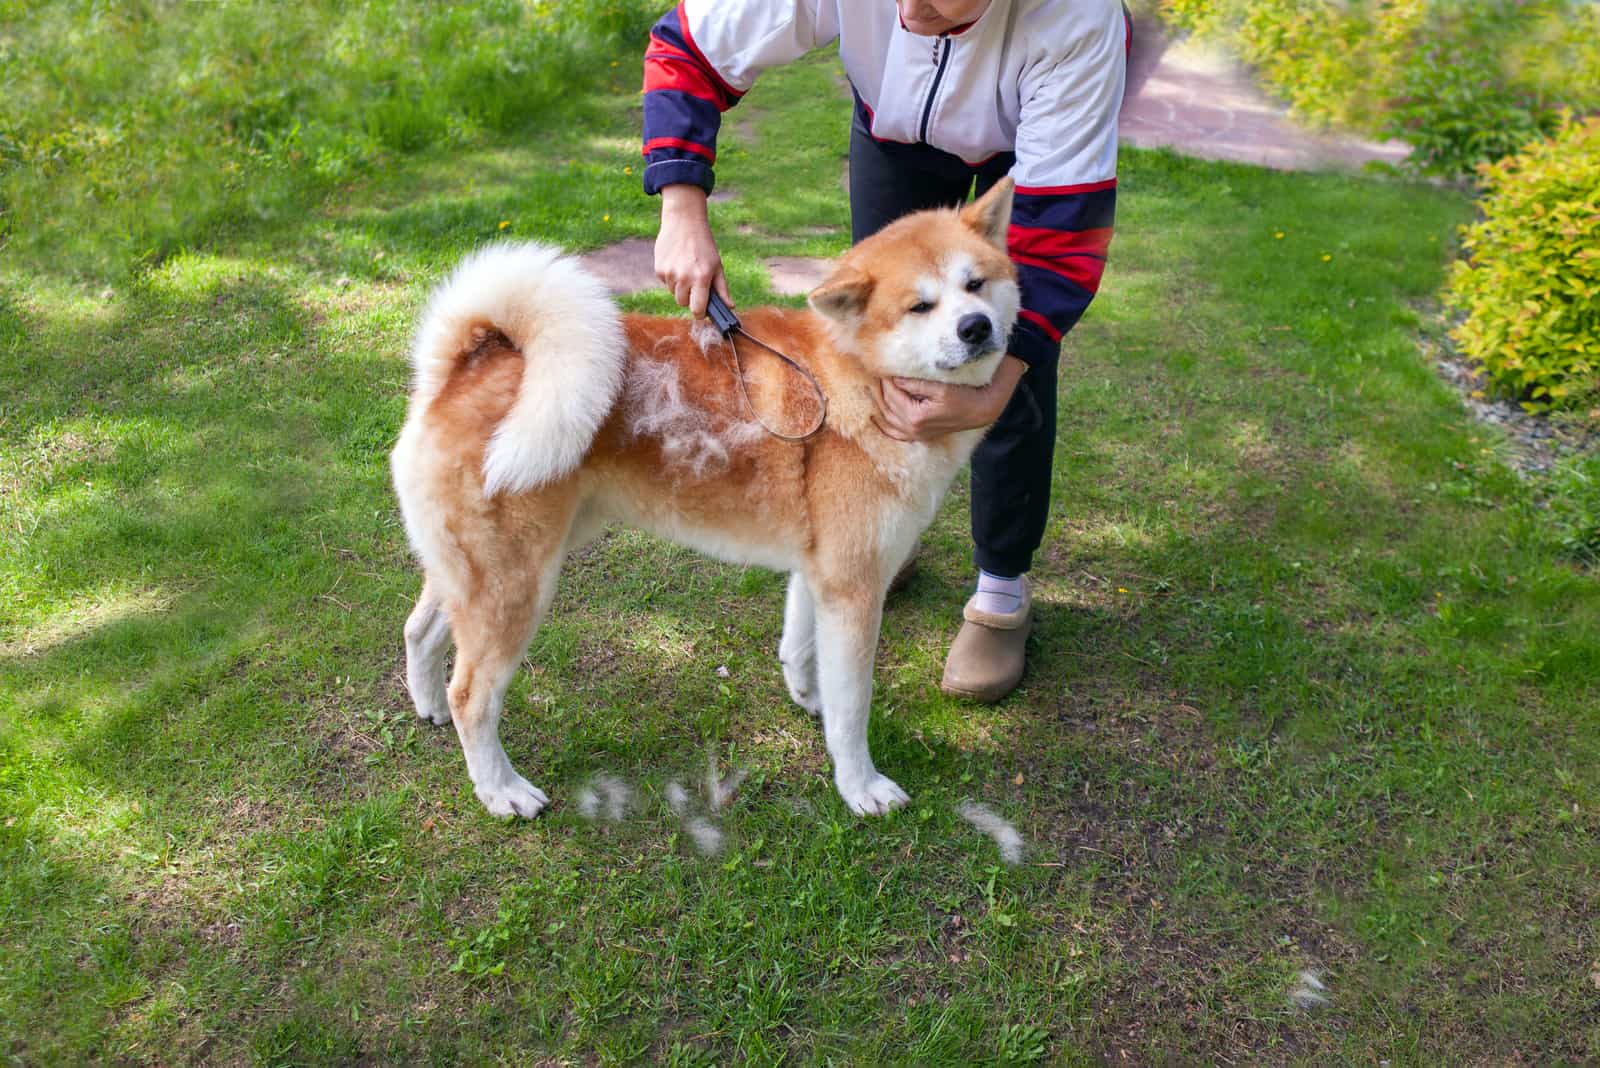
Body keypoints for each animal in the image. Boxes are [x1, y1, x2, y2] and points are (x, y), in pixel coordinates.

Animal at [390, 179, 1011, 824]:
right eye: (919, 307)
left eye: (976, 284)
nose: (975, 327)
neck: (854, 378)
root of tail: (463, 367)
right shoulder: (855, 589)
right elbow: (852, 711)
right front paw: (860, 785)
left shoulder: (818, 575)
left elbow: (800, 650)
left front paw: (806, 697)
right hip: (517, 586)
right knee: (471, 695)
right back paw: (499, 788)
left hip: (481, 573)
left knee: (420, 630)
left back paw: (428, 704)